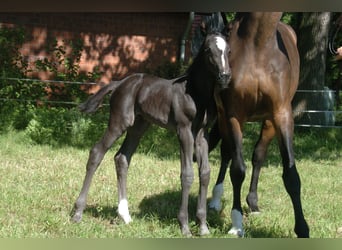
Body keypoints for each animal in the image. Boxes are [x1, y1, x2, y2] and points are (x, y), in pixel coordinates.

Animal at [71, 32, 231, 235]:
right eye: (208, 50)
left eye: (229, 50)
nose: (225, 76)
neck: (196, 94)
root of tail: (119, 83)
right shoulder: (184, 130)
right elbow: (187, 174)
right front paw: (185, 226)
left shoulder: (202, 135)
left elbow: (205, 173)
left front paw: (203, 226)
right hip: (119, 122)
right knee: (97, 152)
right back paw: (78, 212)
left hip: (138, 126)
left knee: (121, 158)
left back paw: (125, 215)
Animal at [210, 12, 308, 238]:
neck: (258, 45)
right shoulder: (234, 115)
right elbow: (237, 170)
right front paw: (236, 224)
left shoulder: (282, 114)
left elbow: (291, 175)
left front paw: (302, 228)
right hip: (222, 117)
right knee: (226, 153)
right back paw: (216, 200)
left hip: (269, 122)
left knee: (258, 155)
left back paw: (253, 203)